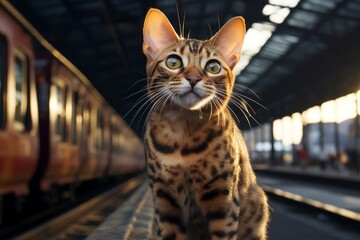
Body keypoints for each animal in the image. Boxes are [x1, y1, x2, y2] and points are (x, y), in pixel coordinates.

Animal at [142, 8, 268, 239]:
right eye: (173, 62)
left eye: (213, 67)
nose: (193, 78)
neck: (183, 133)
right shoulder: (164, 197)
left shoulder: (224, 195)